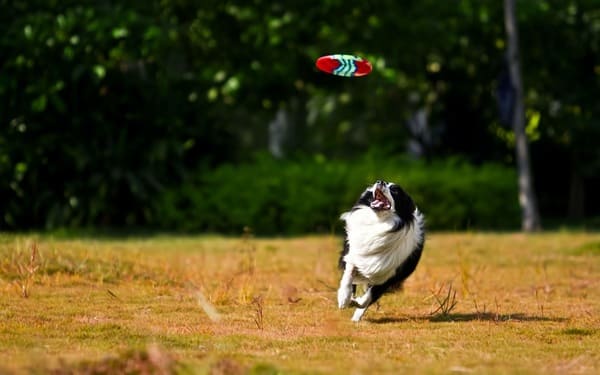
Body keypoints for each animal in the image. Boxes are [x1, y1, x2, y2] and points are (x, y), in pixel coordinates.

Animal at [338, 181, 426, 322]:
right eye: (376, 183)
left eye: (395, 190)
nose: (380, 181)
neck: (380, 222)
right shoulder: (354, 255)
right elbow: (348, 275)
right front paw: (344, 298)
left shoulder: (390, 275)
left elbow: (368, 297)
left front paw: (356, 303)